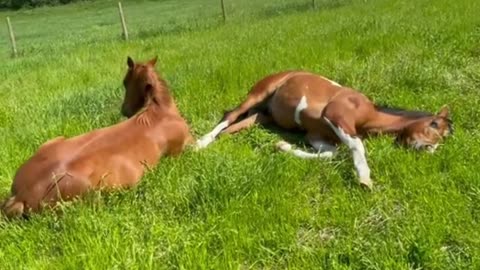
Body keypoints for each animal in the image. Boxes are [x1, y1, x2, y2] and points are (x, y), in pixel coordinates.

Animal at [2, 56, 193, 218]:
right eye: (124, 82)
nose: (125, 110)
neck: (158, 112)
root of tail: (22, 194)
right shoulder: (184, 147)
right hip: (95, 198)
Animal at [196, 70, 454, 189]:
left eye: (444, 138)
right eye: (434, 124)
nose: (429, 150)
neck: (367, 114)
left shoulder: (317, 136)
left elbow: (331, 153)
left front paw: (281, 146)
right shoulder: (335, 116)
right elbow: (356, 145)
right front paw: (364, 179)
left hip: (262, 116)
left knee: (234, 127)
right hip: (257, 94)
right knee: (229, 116)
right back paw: (199, 144)